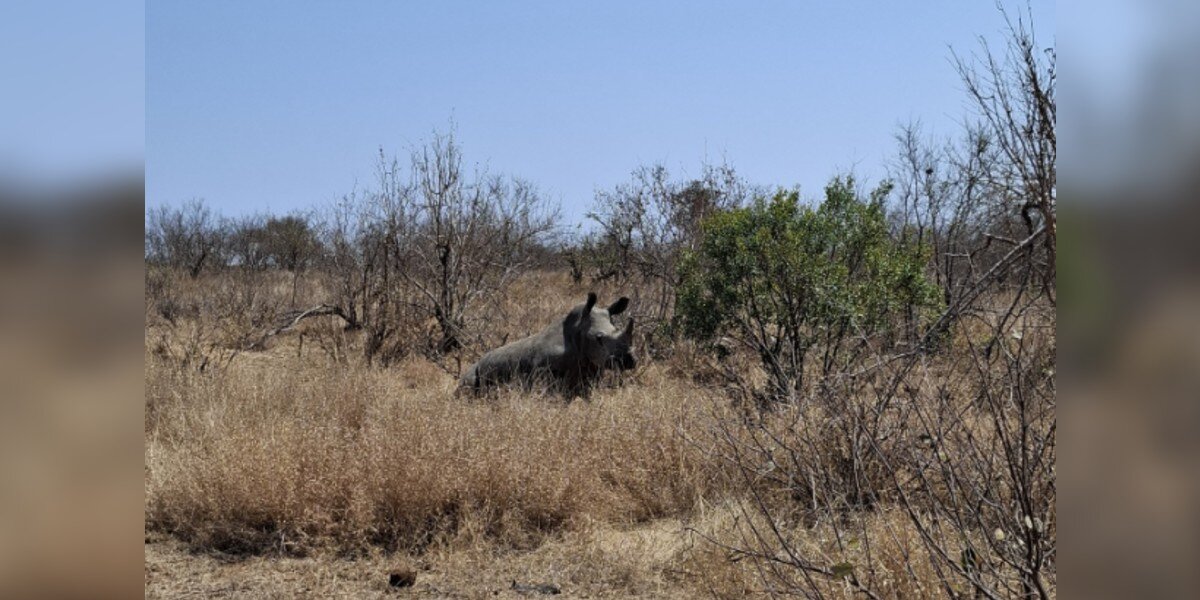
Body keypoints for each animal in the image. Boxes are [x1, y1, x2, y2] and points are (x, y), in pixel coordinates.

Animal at [459, 293, 636, 396]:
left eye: (616, 330)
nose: (628, 361)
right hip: (475, 371)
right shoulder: (546, 374)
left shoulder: (591, 371)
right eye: (599, 338)